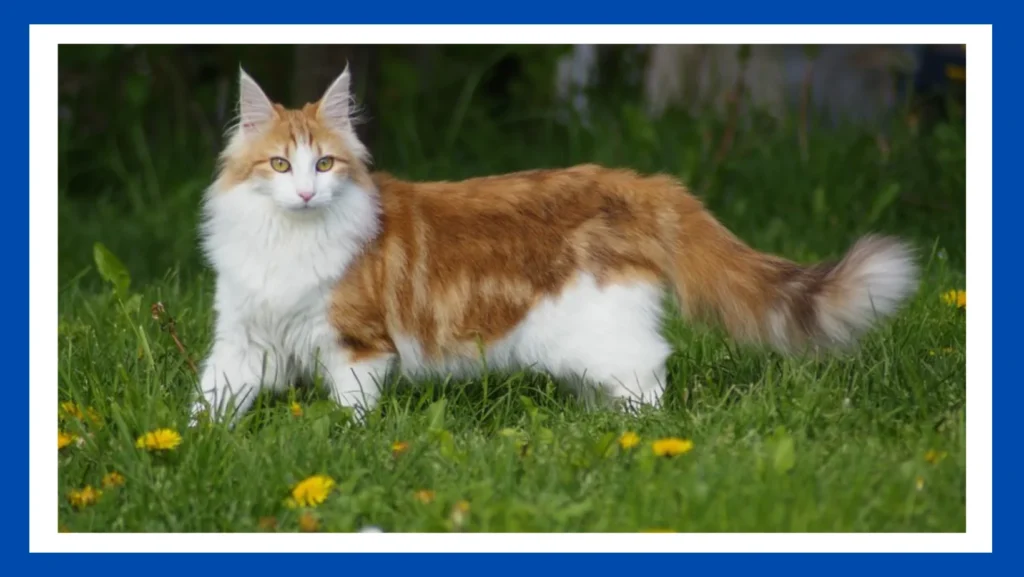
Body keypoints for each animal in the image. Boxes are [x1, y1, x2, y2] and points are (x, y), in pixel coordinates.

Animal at [192, 67, 921, 426]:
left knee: (649, 374)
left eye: (326, 164)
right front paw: (194, 445)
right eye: (280, 165)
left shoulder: (356, 345)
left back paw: (639, 440)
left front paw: (349, 444)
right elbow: (211, 399)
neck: (284, 242)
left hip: (600, 328)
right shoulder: (243, 340)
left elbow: (351, 411)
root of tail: (633, 180)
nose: (306, 193)